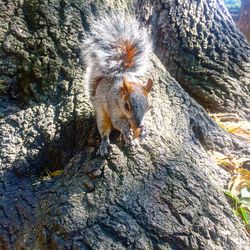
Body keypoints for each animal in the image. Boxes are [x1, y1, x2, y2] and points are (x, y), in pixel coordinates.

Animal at [82, 13, 152, 156]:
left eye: (148, 107)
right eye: (126, 106)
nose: (138, 125)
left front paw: (144, 130)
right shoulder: (113, 107)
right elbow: (118, 122)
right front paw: (126, 130)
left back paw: (133, 141)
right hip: (102, 116)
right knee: (104, 132)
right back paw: (105, 145)